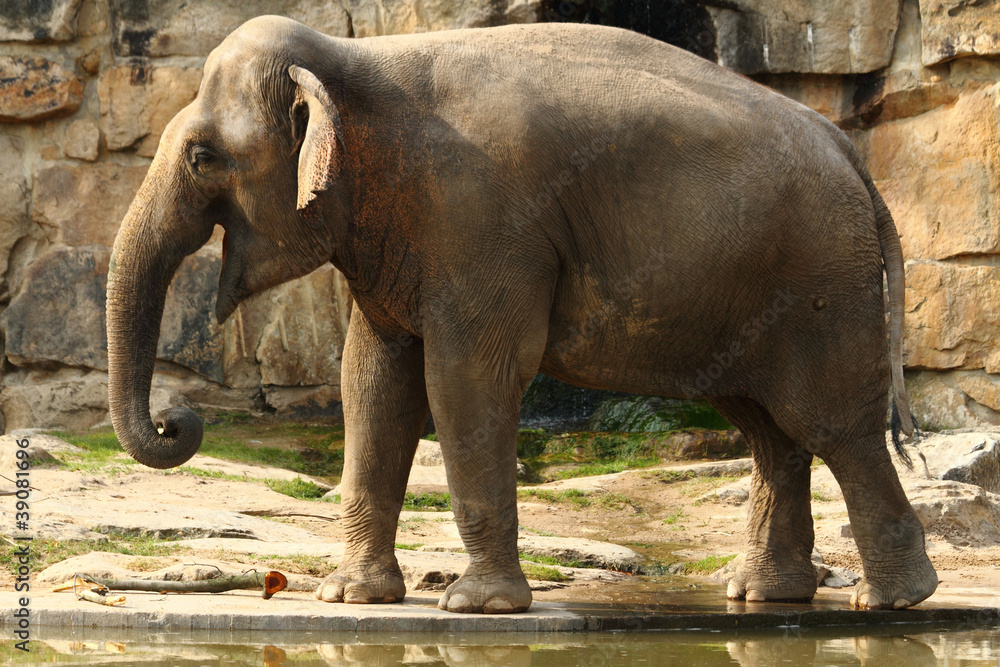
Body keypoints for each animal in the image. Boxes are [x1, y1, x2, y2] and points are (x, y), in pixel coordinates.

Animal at [106, 15, 938, 614]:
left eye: (203, 158)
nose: (178, 420)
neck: (357, 61)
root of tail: (850, 153)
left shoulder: (481, 219)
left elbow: (466, 378)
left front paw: (475, 608)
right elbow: (373, 382)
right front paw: (351, 598)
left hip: (820, 279)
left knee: (832, 425)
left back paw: (891, 600)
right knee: (770, 430)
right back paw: (765, 594)